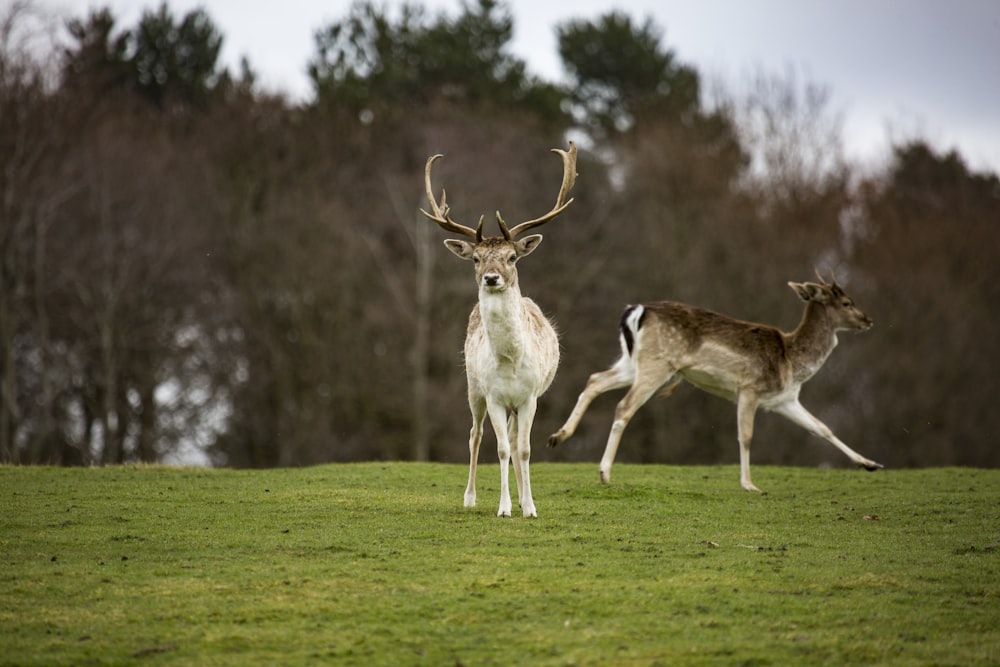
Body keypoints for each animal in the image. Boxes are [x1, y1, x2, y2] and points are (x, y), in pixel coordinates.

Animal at [422, 141, 580, 516]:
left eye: (512, 257)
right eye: (476, 258)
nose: (491, 278)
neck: (509, 362)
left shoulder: (530, 397)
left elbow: (523, 449)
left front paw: (530, 507)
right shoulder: (493, 395)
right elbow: (502, 449)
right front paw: (505, 508)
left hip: (516, 402)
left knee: (513, 437)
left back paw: (523, 497)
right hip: (472, 387)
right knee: (475, 435)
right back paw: (470, 498)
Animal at [548, 274, 884, 494]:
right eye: (847, 302)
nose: (868, 319)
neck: (792, 362)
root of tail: (636, 311)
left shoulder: (784, 399)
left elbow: (822, 427)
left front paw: (871, 464)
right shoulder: (749, 388)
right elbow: (746, 436)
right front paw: (749, 484)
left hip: (632, 363)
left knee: (594, 379)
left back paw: (558, 436)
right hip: (658, 364)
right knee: (623, 406)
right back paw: (604, 472)